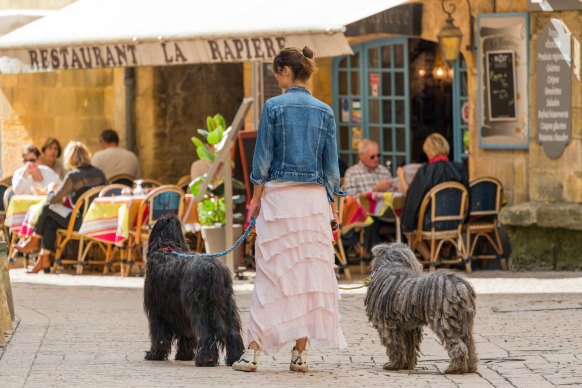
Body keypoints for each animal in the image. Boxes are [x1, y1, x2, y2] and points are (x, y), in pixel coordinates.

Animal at [147, 214, 248, 366]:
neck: (165, 247)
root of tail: (214, 270)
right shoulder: (181, 312)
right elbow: (186, 335)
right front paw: (184, 355)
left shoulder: (156, 311)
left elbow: (159, 336)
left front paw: (154, 354)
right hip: (228, 306)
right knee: (233, 332)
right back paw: (235, 358)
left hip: (201, 309)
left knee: (207, 333)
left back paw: (205, 359)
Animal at [364, 242, 480, 372]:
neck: (392, 265)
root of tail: (459, 286)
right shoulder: (409, 328)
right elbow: (408, 347)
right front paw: (406, 365)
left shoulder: (387, 325)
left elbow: (395, 346)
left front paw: (394, 364)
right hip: (464, 322)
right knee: (469, 345)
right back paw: (470, 367)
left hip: (444, 320)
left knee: (458, 346)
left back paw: (454, 368)